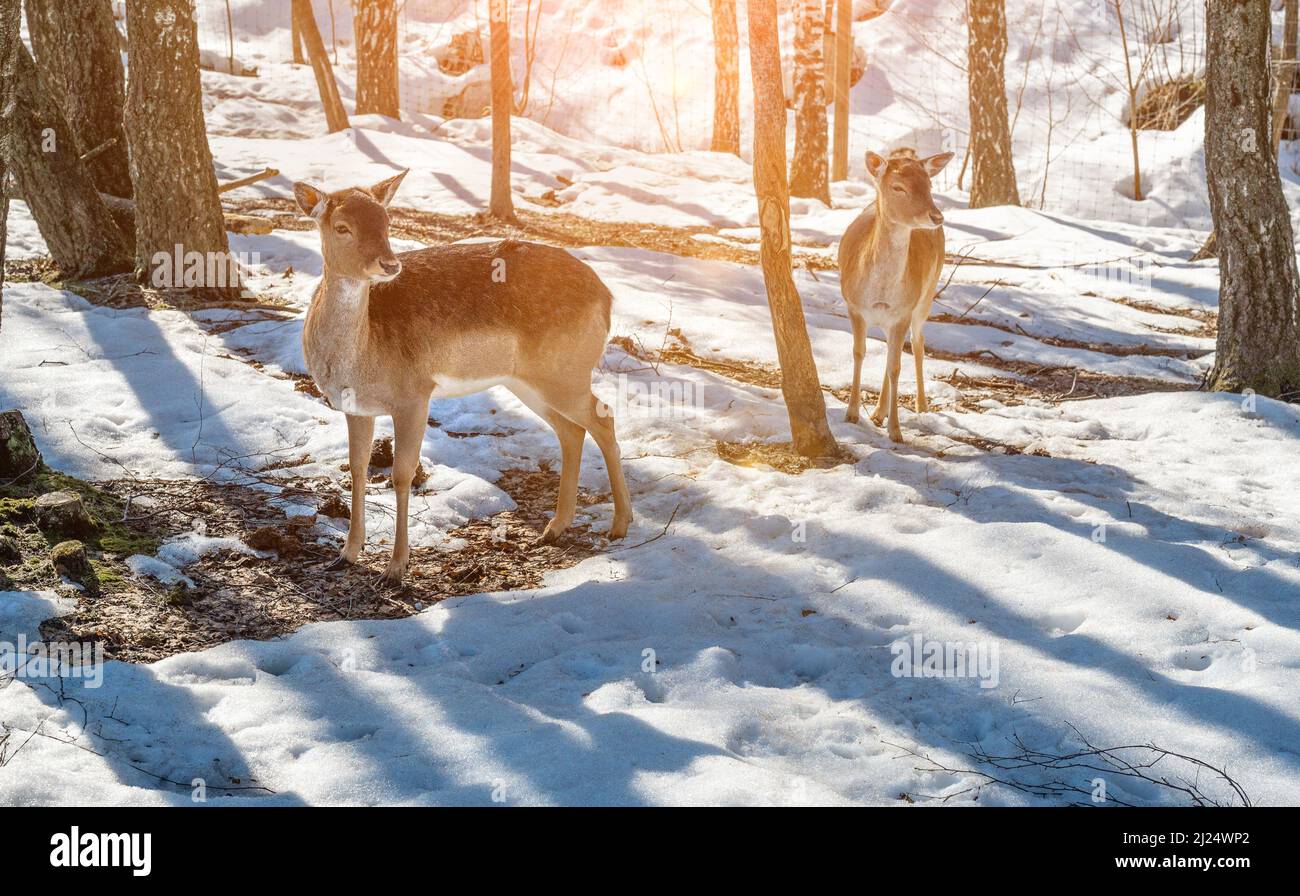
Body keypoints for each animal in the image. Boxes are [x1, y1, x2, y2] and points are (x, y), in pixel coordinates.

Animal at [293, 170, 632, 585]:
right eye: (342, 227)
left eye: (386, 221)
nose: (389, 264)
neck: (362, 355)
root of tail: (607, 298)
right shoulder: (355, 407)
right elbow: (356, 469)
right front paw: (346, 554)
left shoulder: (415, 395)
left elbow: (402, 475)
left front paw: (395, 568)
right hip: (528, 380)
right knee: (571, 430)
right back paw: (554, 528)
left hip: (565, 371)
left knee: (603, 416)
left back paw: (619, 524)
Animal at [837, 148, 954, 443]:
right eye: (898, 187)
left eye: (929, 185)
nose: (936, 217)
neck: (881, 294)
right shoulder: (854, 305)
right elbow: (859, 353)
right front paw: (851, 414)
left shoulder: (903, 313)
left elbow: (896, 367)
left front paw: (896, 431)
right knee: (893, 351)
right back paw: (878, 412)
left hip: (926, 295)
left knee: (918, 341)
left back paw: (920, 405)